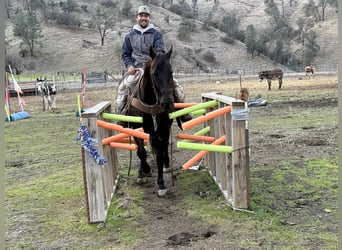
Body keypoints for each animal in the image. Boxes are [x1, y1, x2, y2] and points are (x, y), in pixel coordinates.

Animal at [123, 46, 176, 195]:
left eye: (171, 72)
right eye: (155, 73)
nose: (167, 102)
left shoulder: (162, 130)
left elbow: (159, 155)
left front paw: (161, 184)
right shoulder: (136, 128)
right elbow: (141, 152)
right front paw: (145, 171)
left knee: (163, 148)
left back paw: (166, 164)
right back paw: (142, 173)